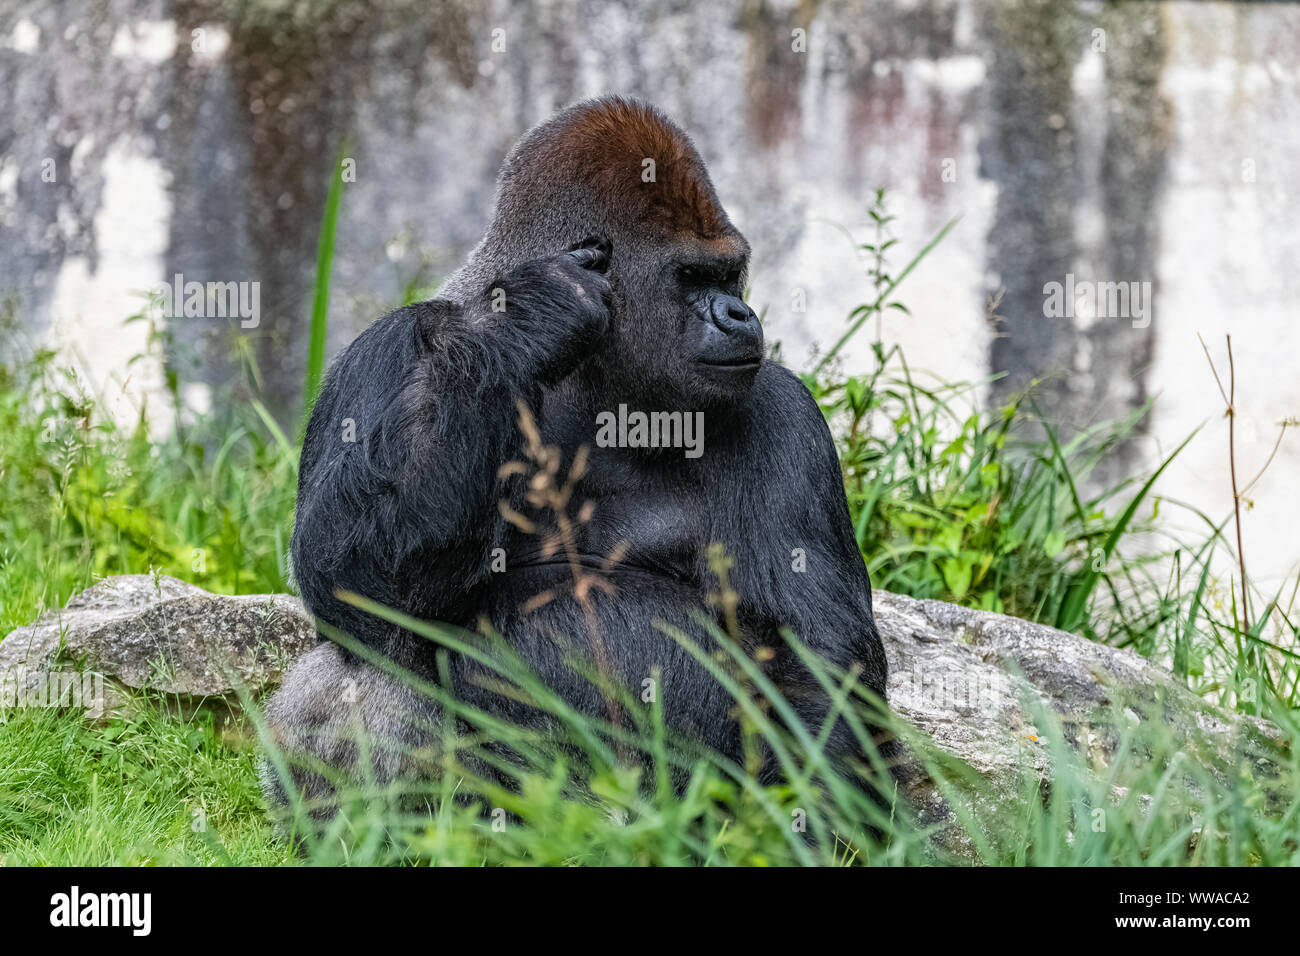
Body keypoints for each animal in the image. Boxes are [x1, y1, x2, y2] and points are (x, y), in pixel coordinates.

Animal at [263, 97, 894, 822]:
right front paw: (530, 319)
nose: (740, 314)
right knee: (363, 661)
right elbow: (348, 570)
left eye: (728, 272)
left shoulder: (784, 410)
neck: (596, 378)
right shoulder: (386, 349)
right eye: (691, 278)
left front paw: (813, 827)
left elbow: (817, 658)